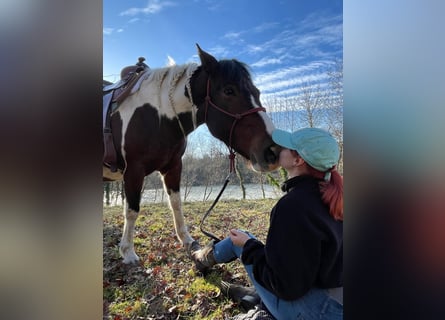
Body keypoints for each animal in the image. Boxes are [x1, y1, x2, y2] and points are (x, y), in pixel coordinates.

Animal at [102, 45, 280, 264]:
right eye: (229, 91)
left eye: (257, 92)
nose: (273, 150)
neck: (157, 115)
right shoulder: (134, 171)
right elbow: (132, 210)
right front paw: (128, 252)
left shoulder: (173, 167)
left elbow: (176, 204)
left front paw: (186, 240)